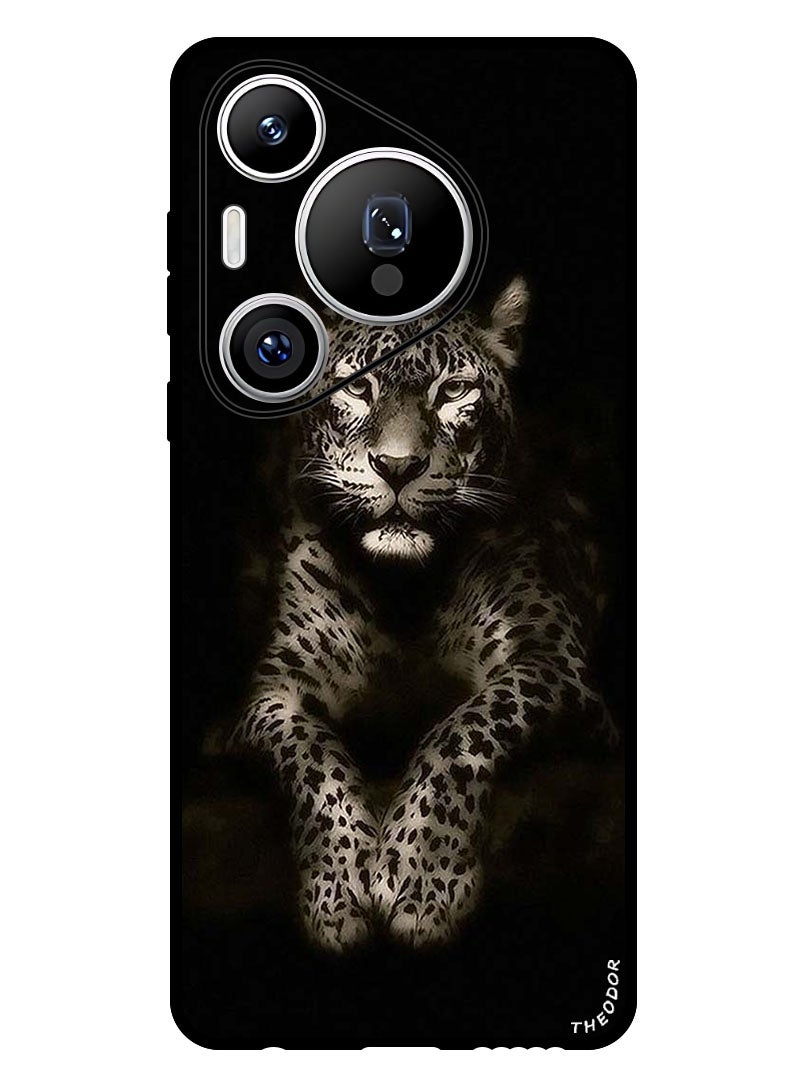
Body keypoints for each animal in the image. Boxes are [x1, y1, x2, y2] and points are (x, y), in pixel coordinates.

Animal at [228, 276, 619, 952]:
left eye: (454, 390)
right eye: (358, 388)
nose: (398, 467)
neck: (403, 591)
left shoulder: (552, 661)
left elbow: (461, 731)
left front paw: (420, 879)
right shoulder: (274, 691)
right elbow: (312, 757)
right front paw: (338, 890)